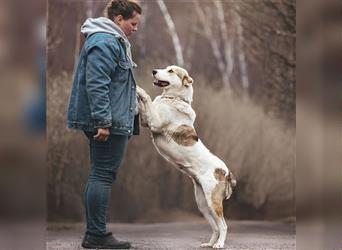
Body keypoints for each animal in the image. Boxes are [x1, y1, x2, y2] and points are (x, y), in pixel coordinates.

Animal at [135, 65, 236, 248]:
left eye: (171, 71)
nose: (154, 71)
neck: (173, 98)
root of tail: (226, 173)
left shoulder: (155, 122)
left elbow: (146, 96)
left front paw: (137, 87)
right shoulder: (147, 121)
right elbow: (144, 104)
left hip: (213, 201)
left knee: (223, 225)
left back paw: (219, 244)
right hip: (203, 205)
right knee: (216, 227)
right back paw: (209, 244)